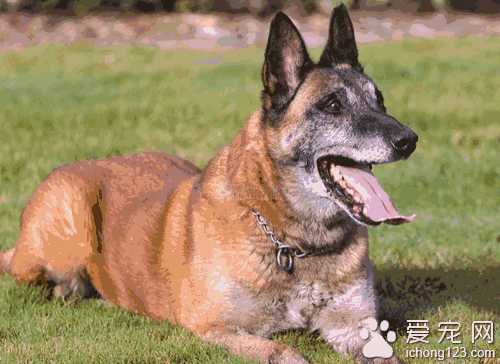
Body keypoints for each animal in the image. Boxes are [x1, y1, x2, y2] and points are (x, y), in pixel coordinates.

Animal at [0, 5, 418, 364]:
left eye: (379, 101)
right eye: (332, 105)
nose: (409, 140)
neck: (293, 241)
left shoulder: (354, 327)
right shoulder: (217, 328)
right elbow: (285, 353)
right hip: (67, 231)